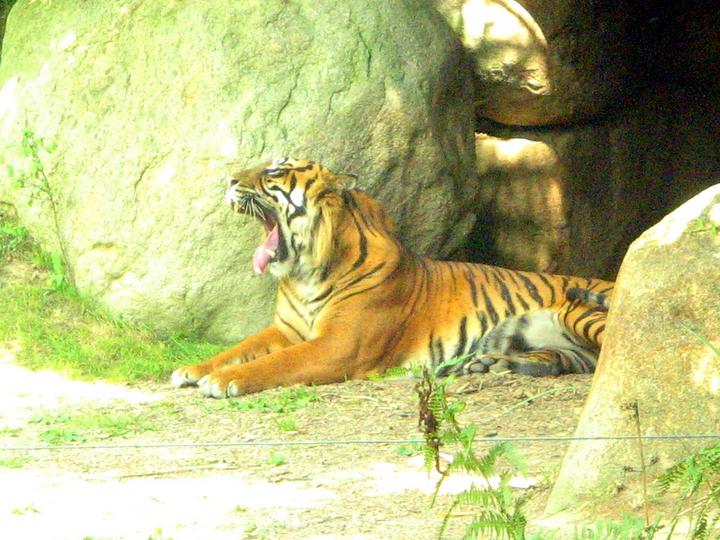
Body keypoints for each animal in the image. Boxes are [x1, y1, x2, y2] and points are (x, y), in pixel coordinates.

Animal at [171, 158, 614, 398]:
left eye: (274, 171)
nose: (229, 180)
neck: (303, 272)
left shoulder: (338, 345)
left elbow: (276, 363)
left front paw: (223, 380)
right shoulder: (286, 329)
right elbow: (240, 348)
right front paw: (193, 369)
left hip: (581, 312)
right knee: (564, 362)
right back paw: (487, 365)